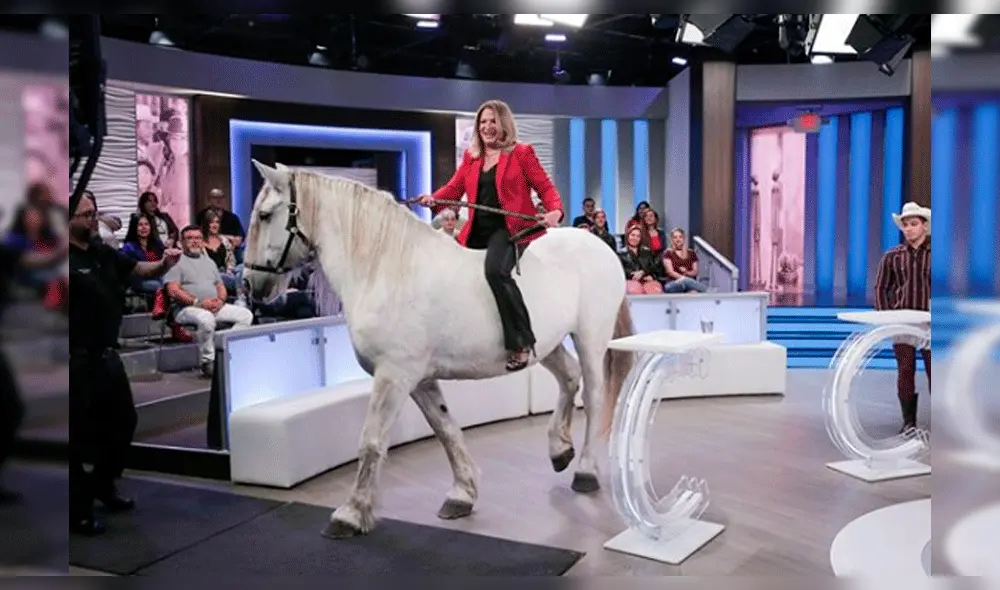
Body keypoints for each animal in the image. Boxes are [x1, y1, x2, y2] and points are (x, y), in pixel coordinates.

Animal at [242, 160, 636, 538]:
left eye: (265, 215)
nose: (249, 283)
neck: (387, 270)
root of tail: (599, 246)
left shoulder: (394, 376)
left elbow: (371, 440)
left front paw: (350, 514)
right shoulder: (417, 379)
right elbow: (445, 428)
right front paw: (462, 493)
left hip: (590, 337)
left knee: (594, 396)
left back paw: (585, 470)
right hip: (545, 344)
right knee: (569, 379)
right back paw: (559, 449)